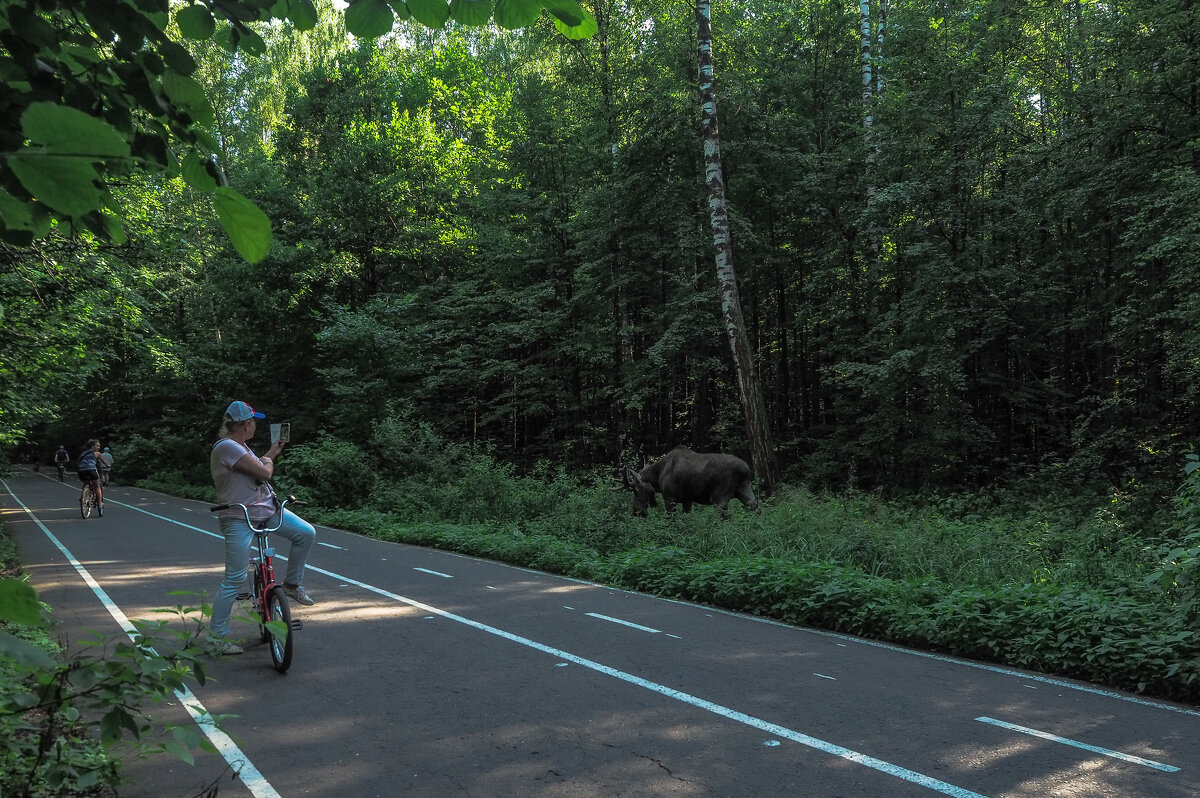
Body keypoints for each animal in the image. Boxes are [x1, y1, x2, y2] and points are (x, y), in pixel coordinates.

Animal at [619, 444, 758, 513]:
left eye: (636, 491)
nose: (636, 512)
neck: (657, 476)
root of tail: (746, 469)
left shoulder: (670, 498)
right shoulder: (687, 500)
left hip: (719, 497)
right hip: (744, 488)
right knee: (754, 506)